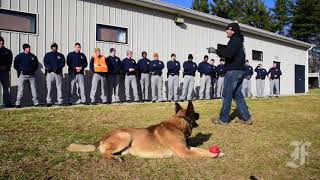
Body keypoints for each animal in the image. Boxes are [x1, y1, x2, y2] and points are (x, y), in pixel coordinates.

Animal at [66, 101, 219, 160]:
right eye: (194, 113)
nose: (199, 114)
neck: (177, 126)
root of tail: (103, 137)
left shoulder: (187, 149)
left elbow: (201, 150)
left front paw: (219, 152)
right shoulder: (185, 153)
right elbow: (202, 153)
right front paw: (214, 154)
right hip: (125, 136)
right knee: (103, 152)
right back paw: (114, 157)